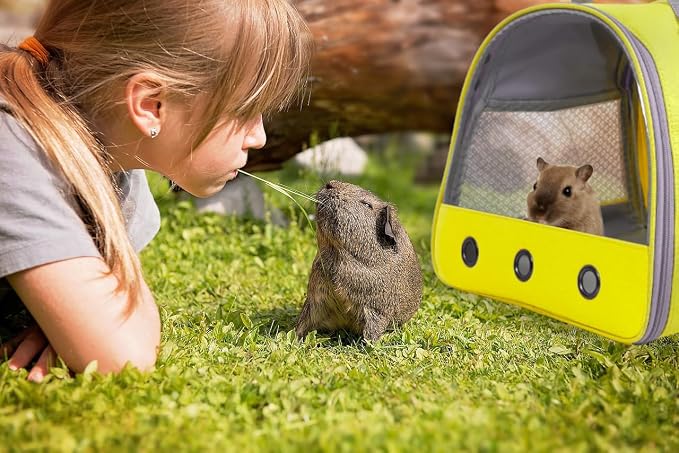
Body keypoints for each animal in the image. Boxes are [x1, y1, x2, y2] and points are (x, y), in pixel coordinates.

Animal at [295, 180, 423, 342]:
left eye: (367, 204)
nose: (330, 184)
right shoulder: (315, 300)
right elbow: (302, 324)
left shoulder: (377, 311)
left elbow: (372, 333)